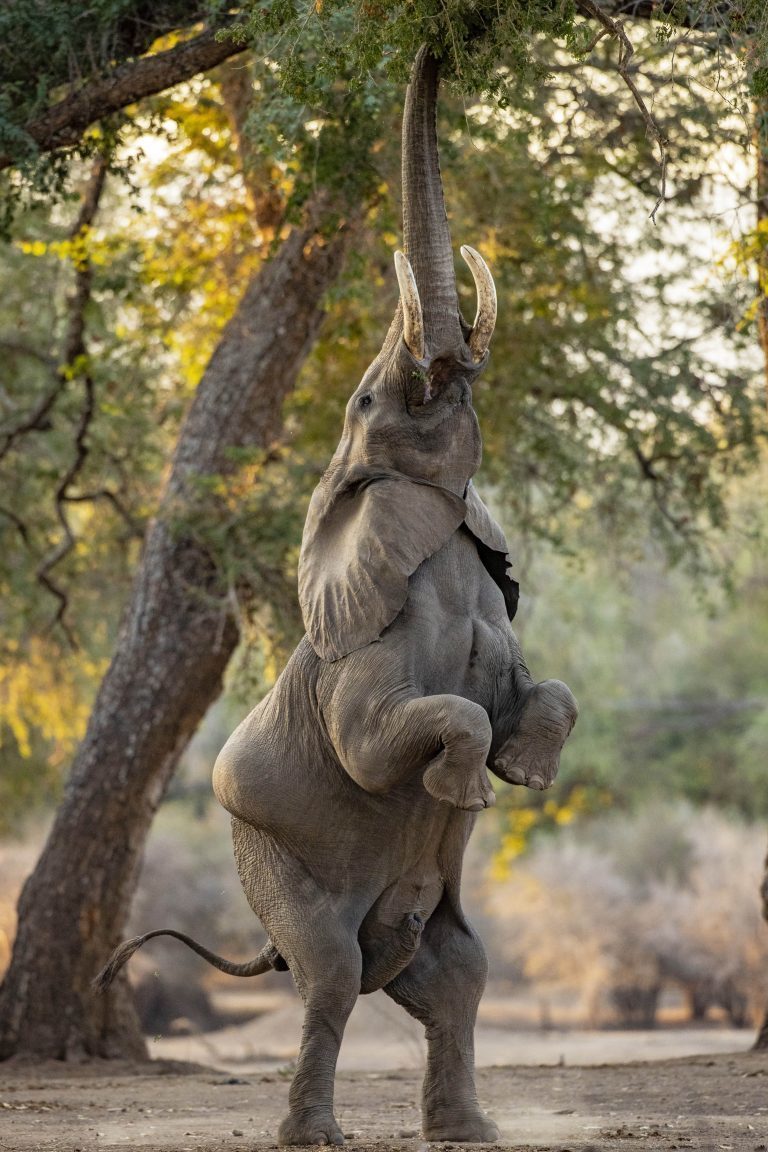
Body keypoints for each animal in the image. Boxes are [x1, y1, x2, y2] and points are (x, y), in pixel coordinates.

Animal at [94, 42, 575, 1142]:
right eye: (362, 399)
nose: (440, 46)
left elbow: (549, 691)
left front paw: (524, 775)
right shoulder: (361, 650)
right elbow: (378, 742)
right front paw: (469, 786)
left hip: (412, 913)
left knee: (455, 975)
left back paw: (467, 1133)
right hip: (271, 857)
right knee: (329, 975)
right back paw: (315, 1135)